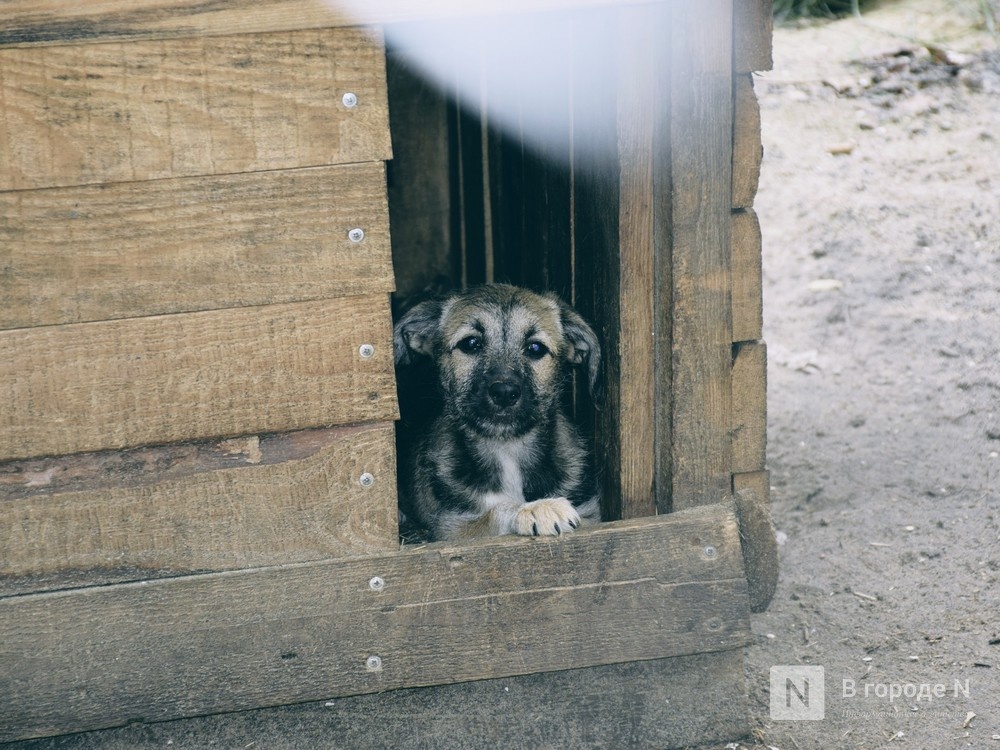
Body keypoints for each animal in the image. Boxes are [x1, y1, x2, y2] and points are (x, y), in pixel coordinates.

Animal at [394, 284, 600, 544]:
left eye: (535, 348)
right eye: (470, 343)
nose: (504, 392)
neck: (507, 449)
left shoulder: (592, 514)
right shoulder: (452, 526)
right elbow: (495, 512)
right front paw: (537, 508)